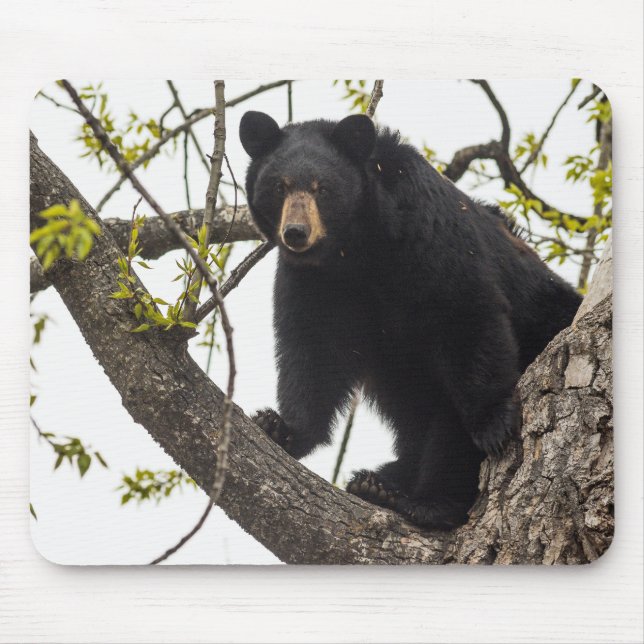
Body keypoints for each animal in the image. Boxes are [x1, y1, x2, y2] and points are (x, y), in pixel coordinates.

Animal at [239, 110, 582, 530]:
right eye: (279, 186)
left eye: (323, 188)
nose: (296, 233)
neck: (356, 249)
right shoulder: (315, 282)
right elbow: (313, 348)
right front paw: (281, 427)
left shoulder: (427, 233)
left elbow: (465, 312)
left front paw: (494, 423)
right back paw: (379, 482)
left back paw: (424, 501)